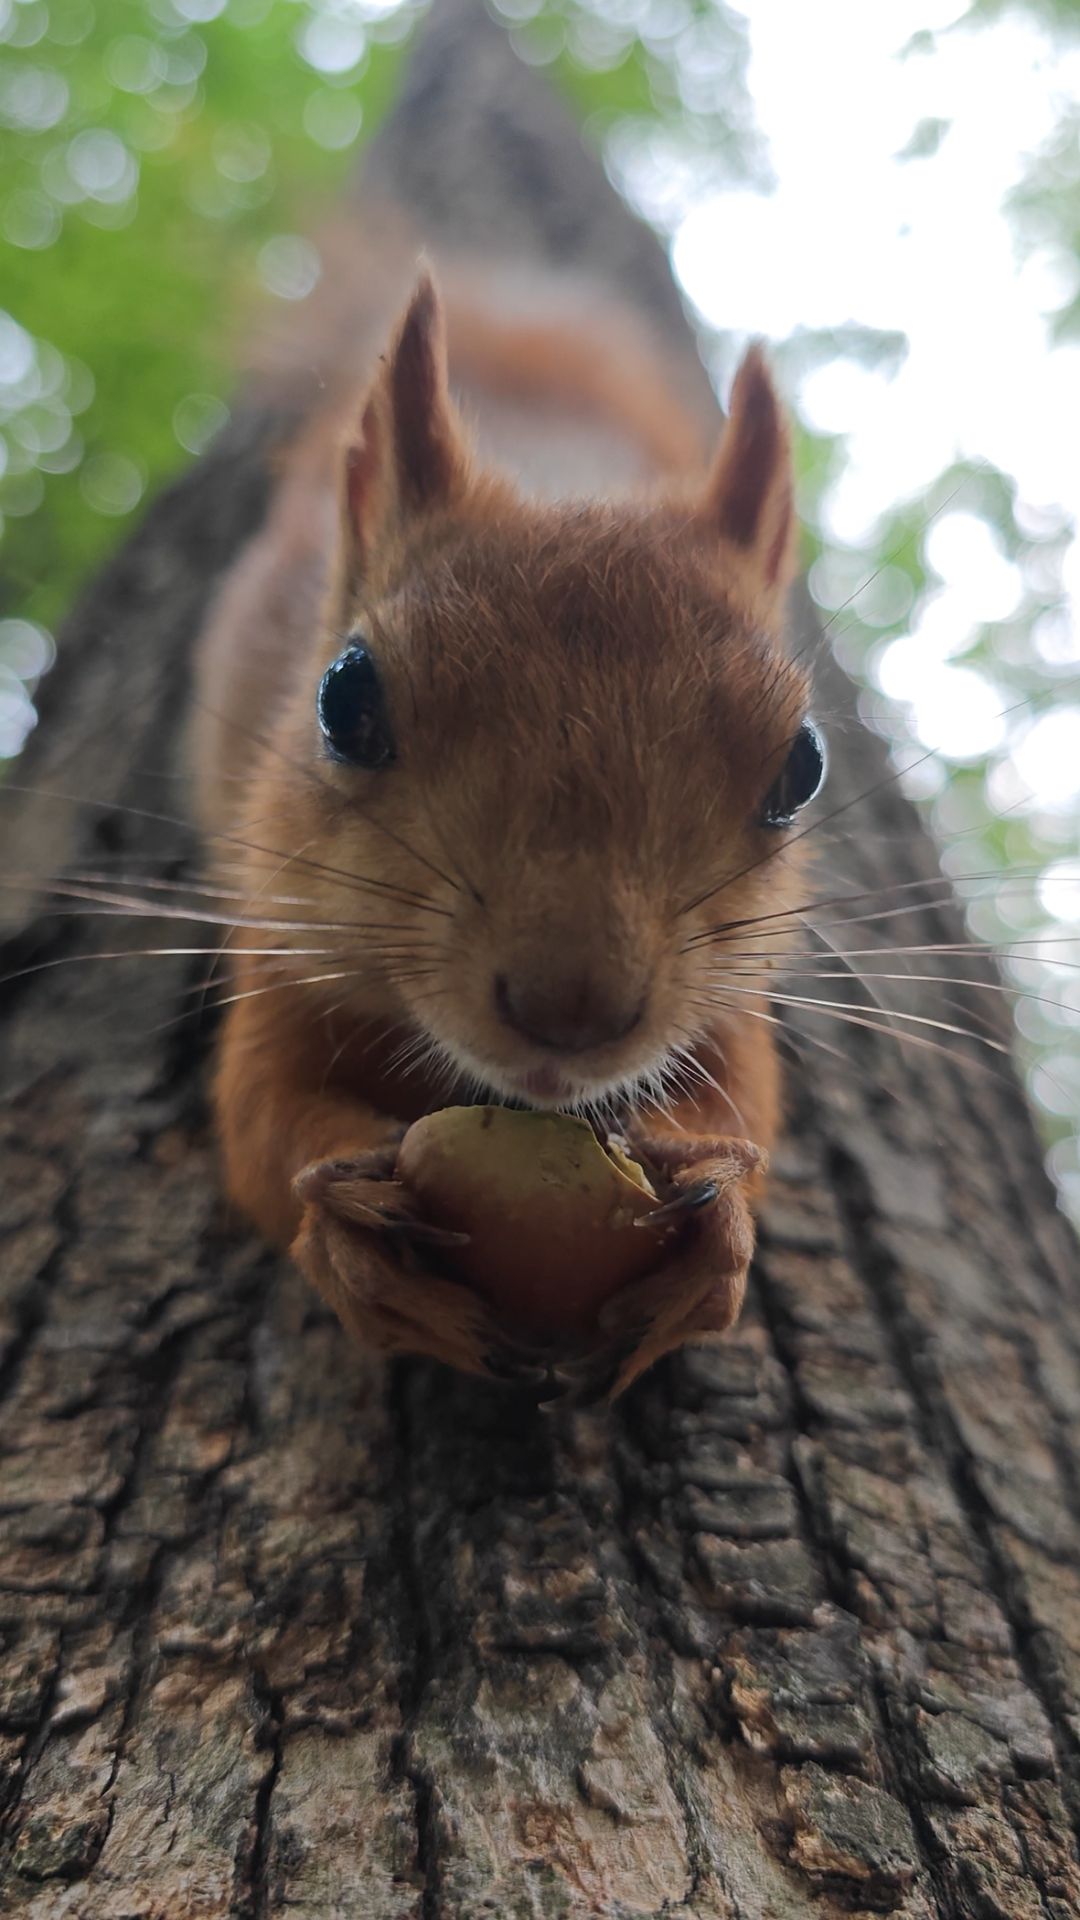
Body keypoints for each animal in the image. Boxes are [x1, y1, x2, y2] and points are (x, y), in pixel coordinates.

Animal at [188, 222, 825, 1397]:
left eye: (801, 767)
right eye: (344, 701)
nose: (571, 1012)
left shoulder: (728, 1000)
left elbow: (747, 1104)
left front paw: (718, 1218)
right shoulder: (282, 940)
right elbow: (258, 1118)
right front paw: (348, 1230)